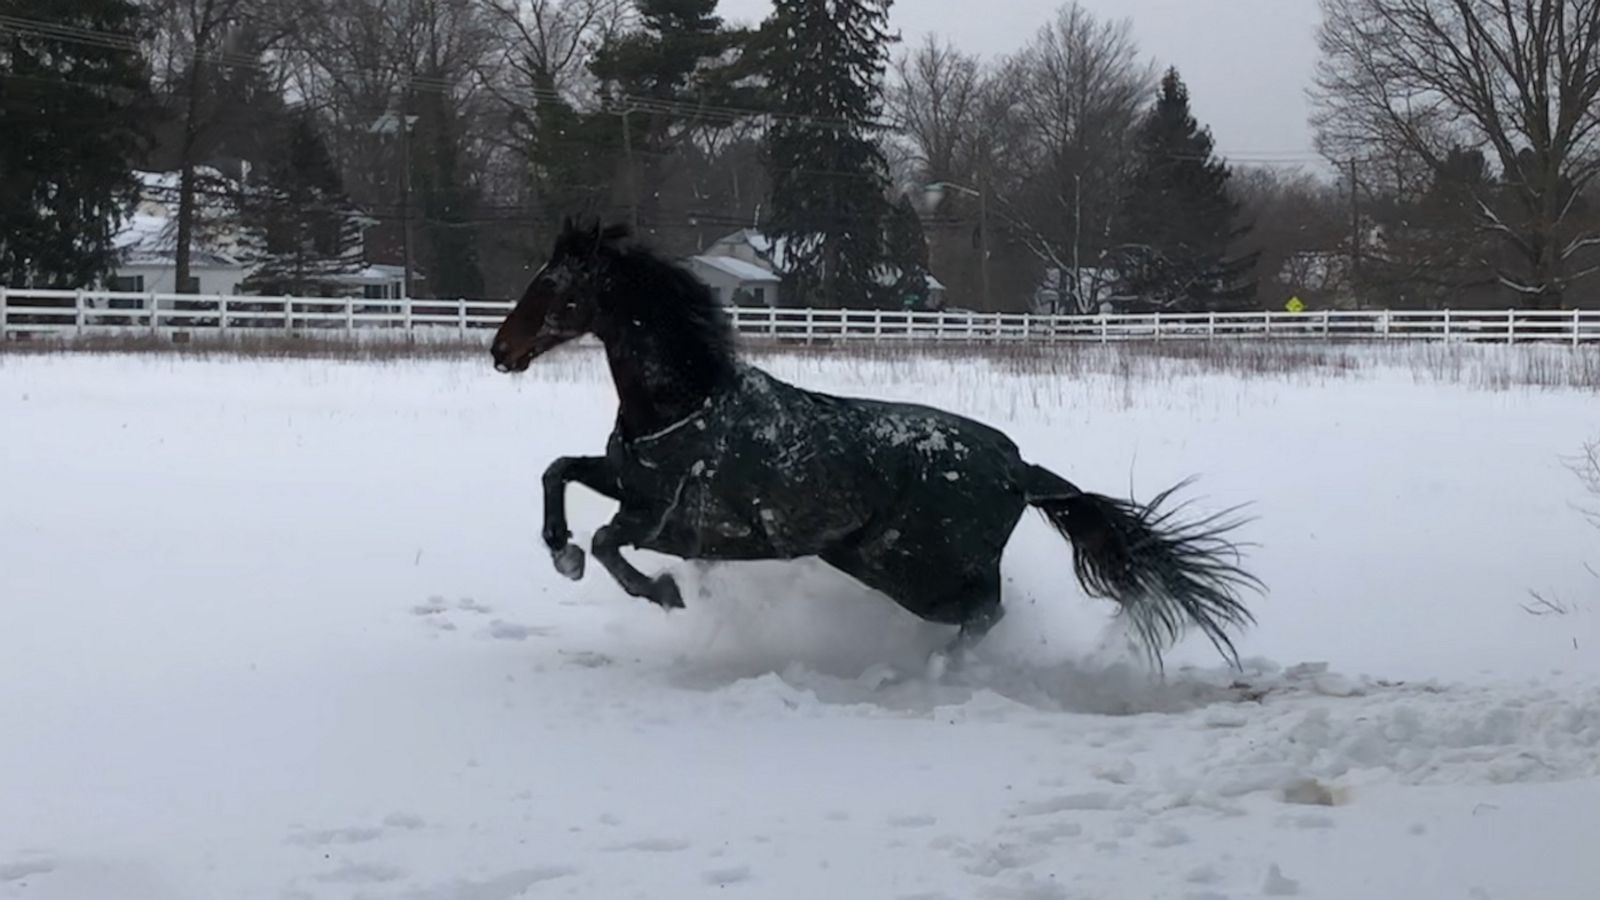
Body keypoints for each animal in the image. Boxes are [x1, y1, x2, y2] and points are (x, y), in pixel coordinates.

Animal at [486, 216, 1260, 666]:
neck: (687, 404)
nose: (501, 351)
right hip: (880, 563)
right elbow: (559, 472)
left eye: (554, 287)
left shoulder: (680, 523)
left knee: (986, 611)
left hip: (910, 567)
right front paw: (562, 554)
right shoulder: (626, 481)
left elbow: (612, 542)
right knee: (983, 611)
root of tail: (1019, 468)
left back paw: (929, 674)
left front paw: (665, 593)